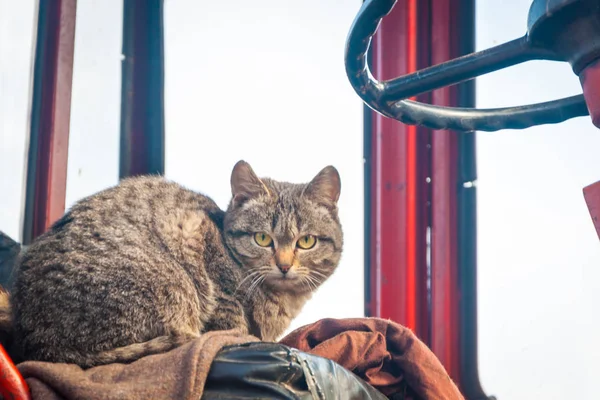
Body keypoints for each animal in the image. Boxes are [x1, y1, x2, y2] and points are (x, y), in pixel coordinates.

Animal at [5, 161, 342, 368]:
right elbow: (234, 323)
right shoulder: (207, 262)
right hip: (170, 285)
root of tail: (40, 342)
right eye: (262, 238)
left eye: (306, 241)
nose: (284, 265)